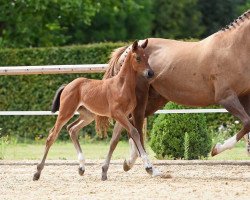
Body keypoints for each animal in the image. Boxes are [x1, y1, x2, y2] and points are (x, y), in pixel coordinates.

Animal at [32, 39, 154, 180]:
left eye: (147, 57)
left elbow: (116, 140)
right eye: (138, 58)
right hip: (66, 112)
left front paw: (104, 172)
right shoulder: (117, 114)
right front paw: (149, 167)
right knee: (52, 135)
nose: (150, 73)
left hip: (87, 115)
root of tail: (67, 85)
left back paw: (81, 167)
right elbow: (134, 132)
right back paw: (37, 172)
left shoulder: (124, 115)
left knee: (72, 129)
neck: (122, 85)